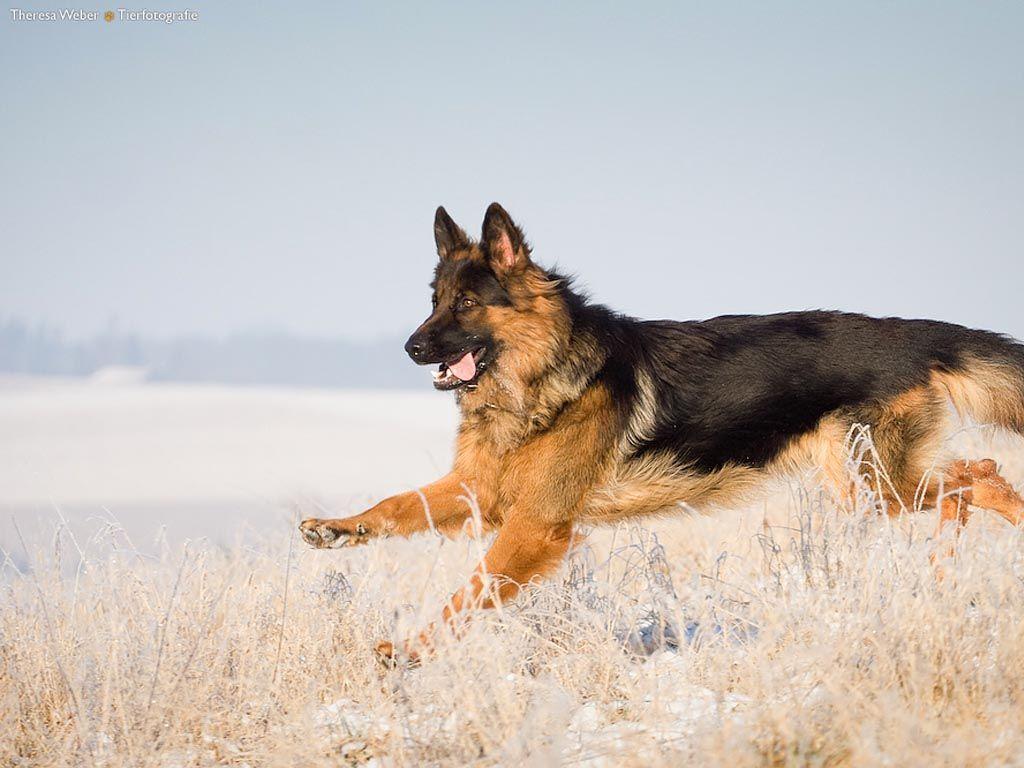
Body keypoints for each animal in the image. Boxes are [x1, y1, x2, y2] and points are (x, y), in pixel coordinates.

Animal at [299, 204, 1024, 663]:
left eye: (468, 304)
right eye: (433, 302)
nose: (411, 348)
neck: (546, 373)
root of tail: (912, 334)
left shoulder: (534, 525)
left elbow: (470, 591)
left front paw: (408, 652)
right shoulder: (480, 490)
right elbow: (398, 504)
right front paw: (336, 530)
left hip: (874, 484)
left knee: (983, 475)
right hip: (872, 487)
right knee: (970, 480)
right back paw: (945, 561)